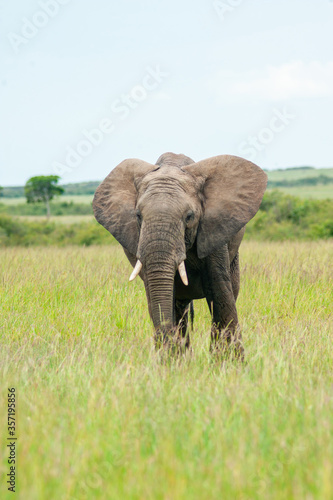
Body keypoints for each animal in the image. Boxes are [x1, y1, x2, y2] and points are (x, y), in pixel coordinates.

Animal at [93, 150, 268, 358]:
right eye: (138, 216)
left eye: (189, 217)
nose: (166, 346)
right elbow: (159, 298)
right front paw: (171, 360)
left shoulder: (213, 228)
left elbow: (220, 293)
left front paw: (228, 362)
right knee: (179, 306)